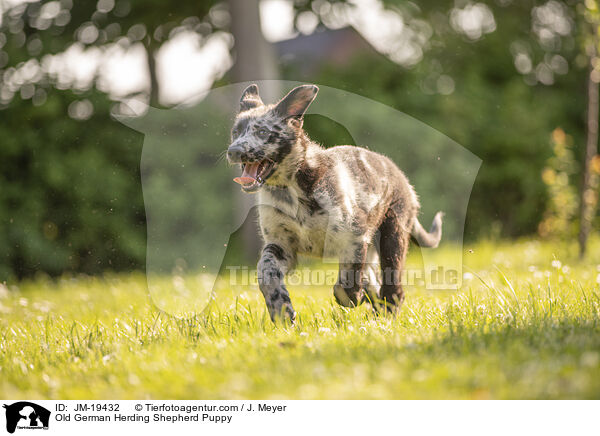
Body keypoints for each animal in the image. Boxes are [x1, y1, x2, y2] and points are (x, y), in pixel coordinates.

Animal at [227, 84, 442, 324]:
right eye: (235, 132)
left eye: (263, 132)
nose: (234, 151)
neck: (292, 188)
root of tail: (403, 179)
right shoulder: (282, 245)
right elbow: (265, 271)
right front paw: (281, 310)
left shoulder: (355, 236)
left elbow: (346, 283)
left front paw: (353, 297)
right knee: (375, 281)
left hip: (392, 236)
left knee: (393, 288)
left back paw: (386, 314)